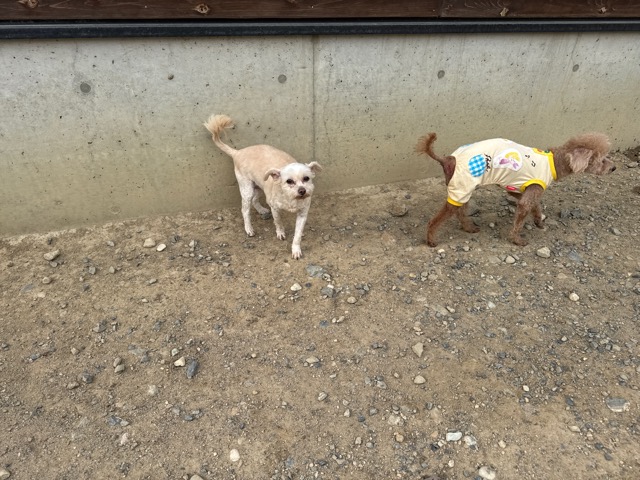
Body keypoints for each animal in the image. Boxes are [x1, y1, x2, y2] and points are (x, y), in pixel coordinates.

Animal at [204, 114, 322, 259]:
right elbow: (278, 222)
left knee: (255, 200)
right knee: (245, 210)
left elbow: (298, 235)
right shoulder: (275, 208)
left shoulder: (302, 214)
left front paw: (296, 249)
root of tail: (238, 152)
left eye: (306, 178)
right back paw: (249, 229)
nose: (302, 191)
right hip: (247, 189)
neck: (290, 198)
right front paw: (280, 233)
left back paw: (261, 210)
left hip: (259, 187)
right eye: (289, 181)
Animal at [416, 132, 615, 247]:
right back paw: (431, 240)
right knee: (436, 220)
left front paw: (539, 221)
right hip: (462, 186)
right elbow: (520, 219)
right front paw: (517, 240)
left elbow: (536, 205)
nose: (613, 168)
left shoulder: (522, 190)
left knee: (460, 212)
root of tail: (448, 159)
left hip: (464, 189)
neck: (554, 163)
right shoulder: (529, 194)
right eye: (601, 159)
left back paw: (469, 228)